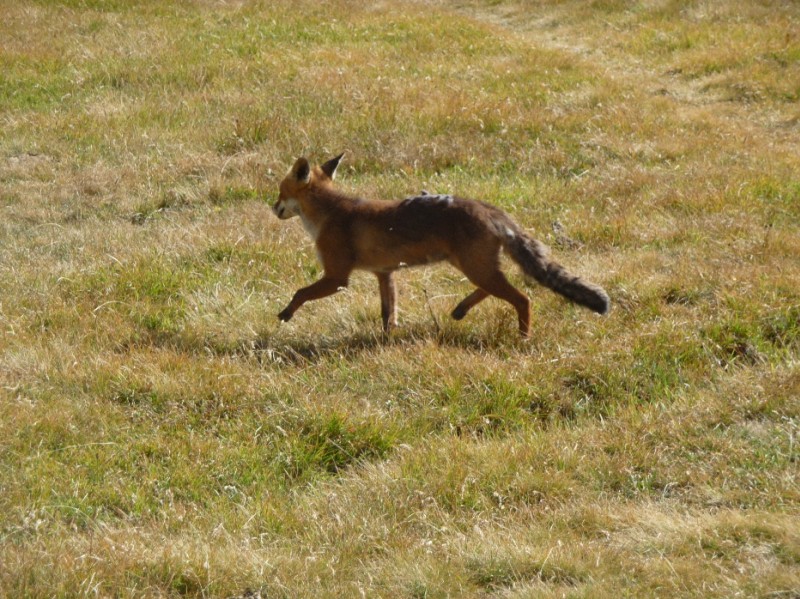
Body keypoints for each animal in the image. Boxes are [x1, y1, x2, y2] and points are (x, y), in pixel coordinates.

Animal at [272, 155, 608, 338]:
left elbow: (300, 293)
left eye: (279, 192)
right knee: (496, 290)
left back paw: (523, 337)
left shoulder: (337, 277)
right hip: (474, 266)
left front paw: (286, 313)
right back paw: (461, 310)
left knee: (523, 299)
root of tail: (489, 208)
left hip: (474, 267)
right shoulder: (385, 273)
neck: (330, 213)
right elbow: (388, 314)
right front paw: (386, 340)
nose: (272, 208)